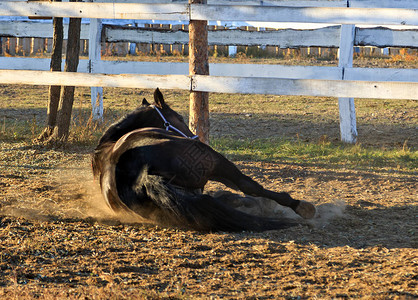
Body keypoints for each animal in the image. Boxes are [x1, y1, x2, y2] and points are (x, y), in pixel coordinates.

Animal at [90, 88, 314, 231]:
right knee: (248, 185)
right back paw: (300, 207)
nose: (194, 136)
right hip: (216, 162)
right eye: (179, 117)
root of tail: (142, 174)